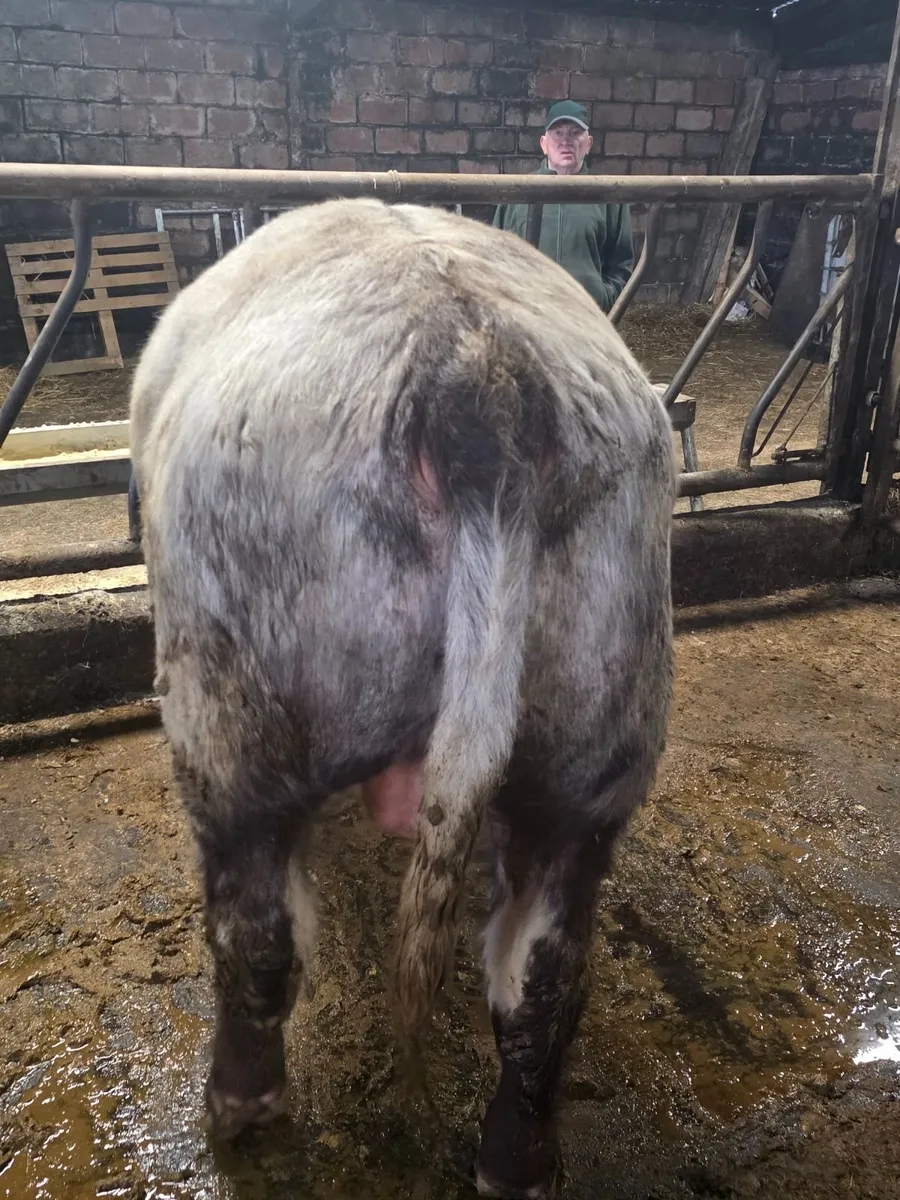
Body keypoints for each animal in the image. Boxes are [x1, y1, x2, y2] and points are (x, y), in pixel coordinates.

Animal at [129, 196, 675, 1199]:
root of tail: (475, 369)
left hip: (232, 731)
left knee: (257, 940)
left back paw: (240, 1112)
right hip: (593, 748)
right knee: (546, 976)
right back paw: (517, 1163)